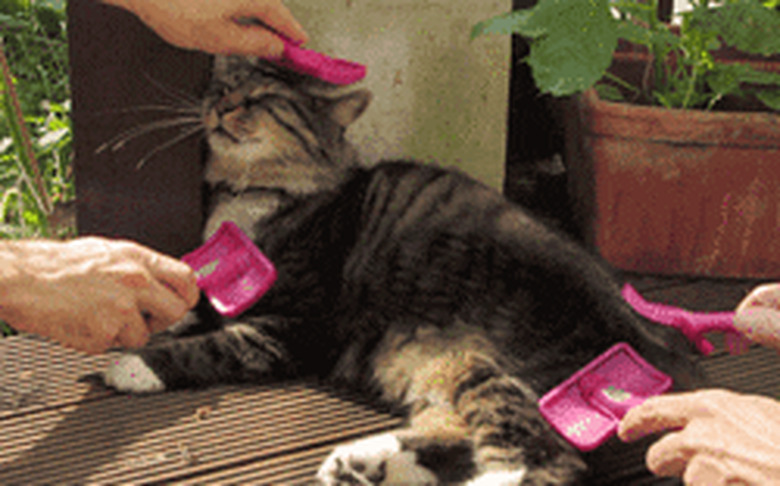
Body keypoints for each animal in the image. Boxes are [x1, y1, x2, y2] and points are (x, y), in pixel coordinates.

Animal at [100, 56, 704, 482]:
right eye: (223, 88)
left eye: (264, 98)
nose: (223, 109)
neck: (251, 194)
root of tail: (663, 352)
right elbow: (185, 301)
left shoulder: (293, 326)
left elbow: (211, 344)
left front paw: (132, 365)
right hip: (446, 368)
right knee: (452, 434)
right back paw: (360, 464)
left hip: (508, 376)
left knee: (542, 460)